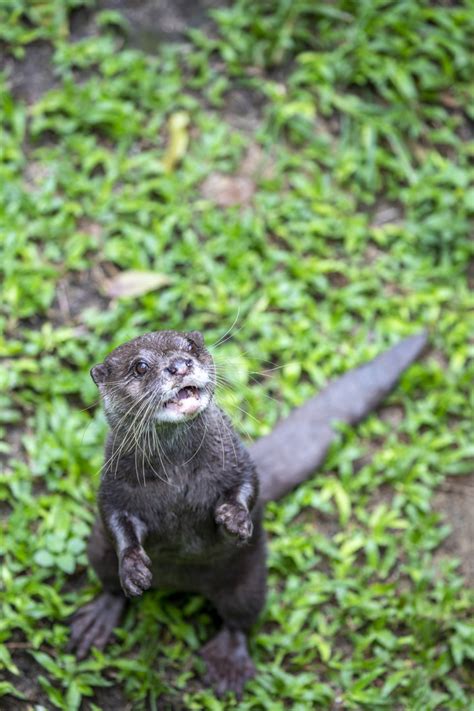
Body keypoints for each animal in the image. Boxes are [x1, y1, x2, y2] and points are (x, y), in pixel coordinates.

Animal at [68, 328, 428, 696]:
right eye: (140, 366)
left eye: (190, 347)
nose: (180, 365)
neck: (177, 475)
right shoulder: (112, 484)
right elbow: (116, 520)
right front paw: (133, 566)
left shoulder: (236, 458)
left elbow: (248, 484)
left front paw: (235, 518)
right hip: (96, 550)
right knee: (110, 583)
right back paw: (97, 621)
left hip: (249, 581)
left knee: (239, 620)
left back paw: (229, 663)